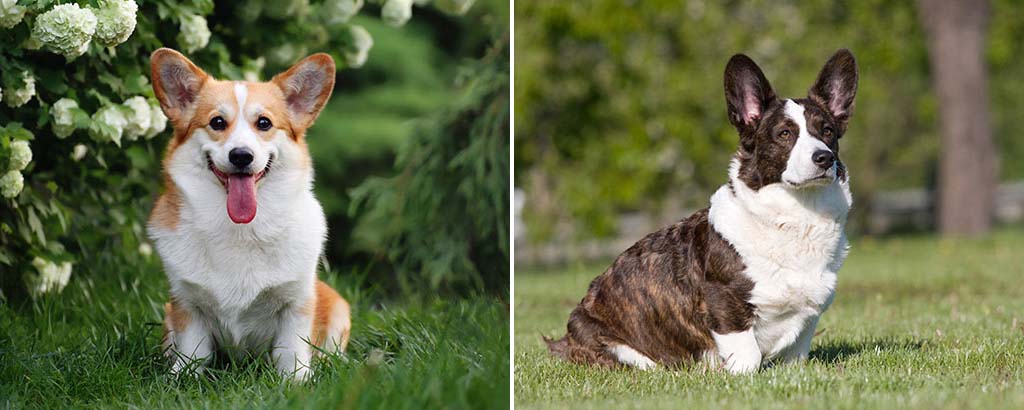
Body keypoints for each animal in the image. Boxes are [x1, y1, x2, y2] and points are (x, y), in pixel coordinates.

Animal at [146, 48, 350, 381]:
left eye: (264, 123)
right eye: (217, 122)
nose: (241, 156)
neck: (240, 230)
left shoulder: (296, 304)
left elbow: (291, 355)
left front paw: (297, 382)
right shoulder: (187, 304)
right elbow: (192, 356)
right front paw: (180, 379)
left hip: (337, 305)